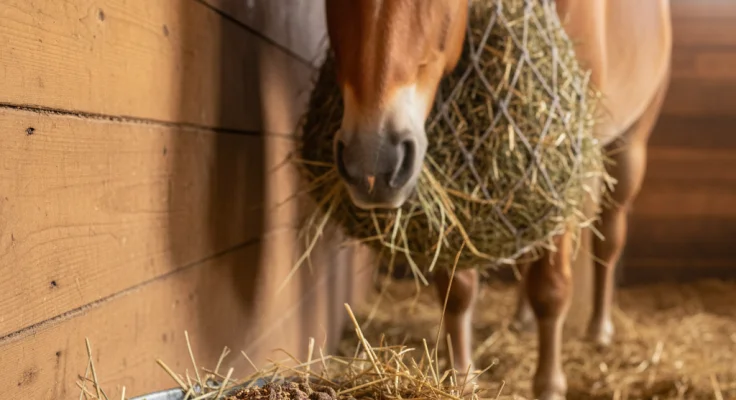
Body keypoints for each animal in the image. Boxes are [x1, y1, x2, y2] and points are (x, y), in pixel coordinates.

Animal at [323, 0, 672, 398]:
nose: (374, 161)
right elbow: (457, 289)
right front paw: (461, 376)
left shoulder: (562, 170)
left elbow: (551, 288)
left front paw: (549, 384)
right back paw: (523, 318)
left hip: (628, 146)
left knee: (608, 239)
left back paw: (600, 330)